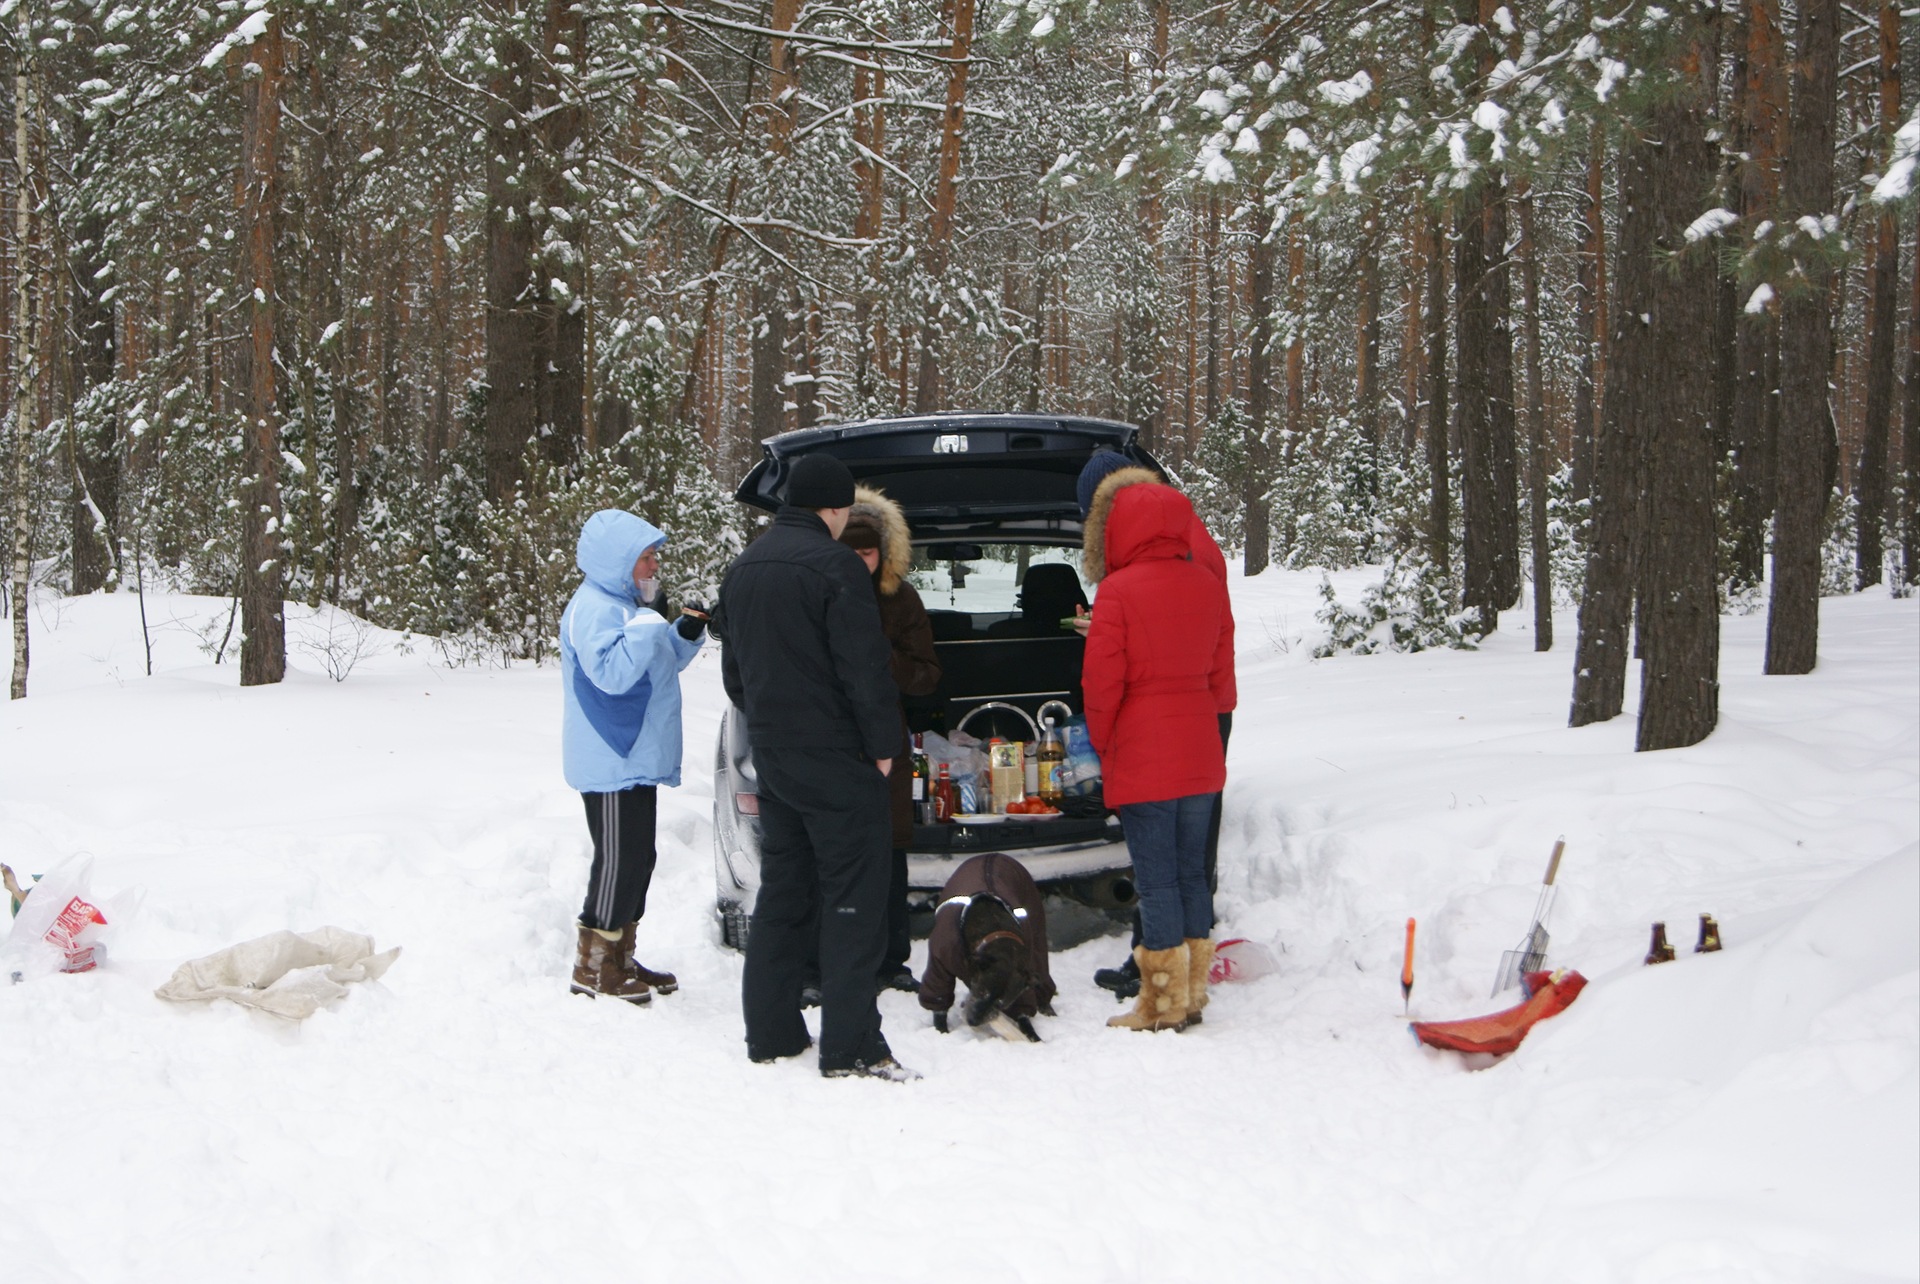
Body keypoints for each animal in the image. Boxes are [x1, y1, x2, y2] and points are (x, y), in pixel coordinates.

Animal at [917, 852, 1059, 1044]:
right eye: (982, 991)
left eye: (1001, 1003)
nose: (972, 1021)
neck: (997, 934)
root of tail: (993, 854)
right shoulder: (940, 963)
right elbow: (939, 1002)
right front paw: (941, 1033)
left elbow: (1023, 1010)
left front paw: (1032, 1036)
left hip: (1037, 930)